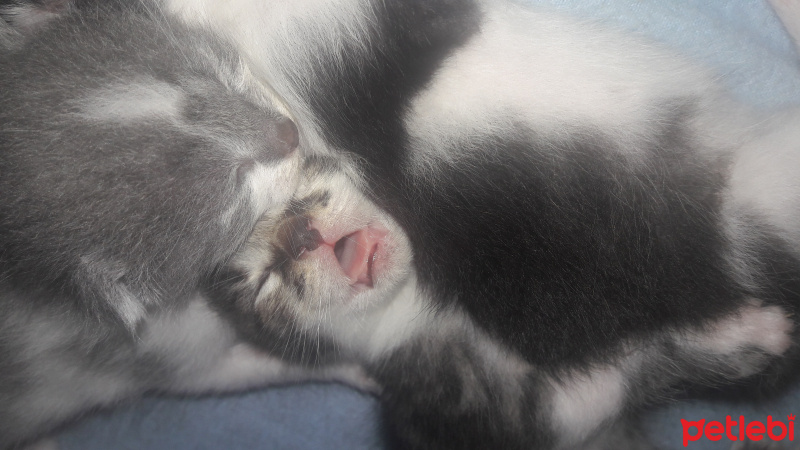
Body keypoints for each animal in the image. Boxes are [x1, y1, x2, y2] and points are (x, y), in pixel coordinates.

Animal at [0, 1, 368, 448]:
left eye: (209, 81)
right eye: (234, 183)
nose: (289, 132)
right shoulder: (142, 354)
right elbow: (246, 370)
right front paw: (354, 369)